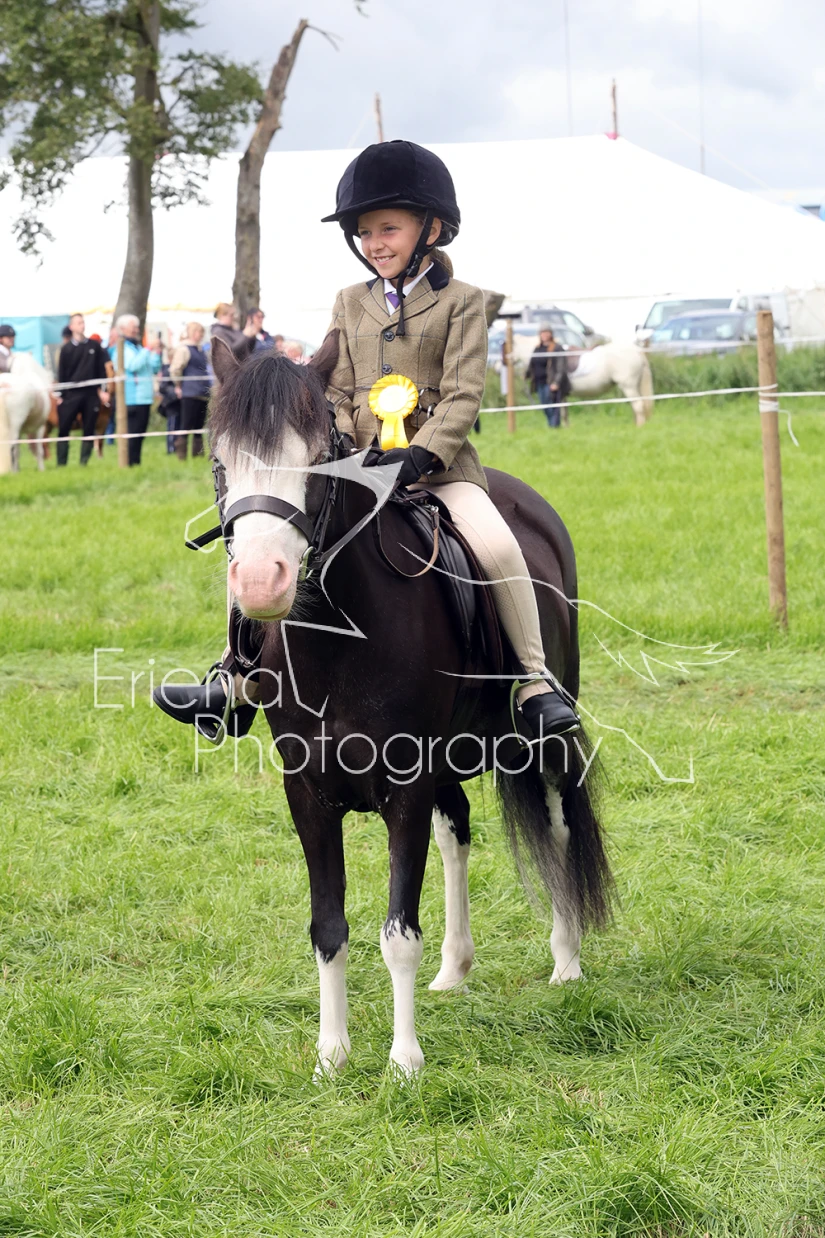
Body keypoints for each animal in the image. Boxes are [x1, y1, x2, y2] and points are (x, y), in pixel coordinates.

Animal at [199, 336, 612, 1076]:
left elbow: (397, 932)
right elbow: (328, 926)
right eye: (221, 461)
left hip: (541, 734)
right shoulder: (308, 794)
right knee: (457, 834)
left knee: (559, 819)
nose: (260, 583)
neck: (338, 640)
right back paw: (455, 969)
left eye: (318, 458)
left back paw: (566, 959)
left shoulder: (405, 786)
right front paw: (331, 1056)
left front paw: (403, 1061)